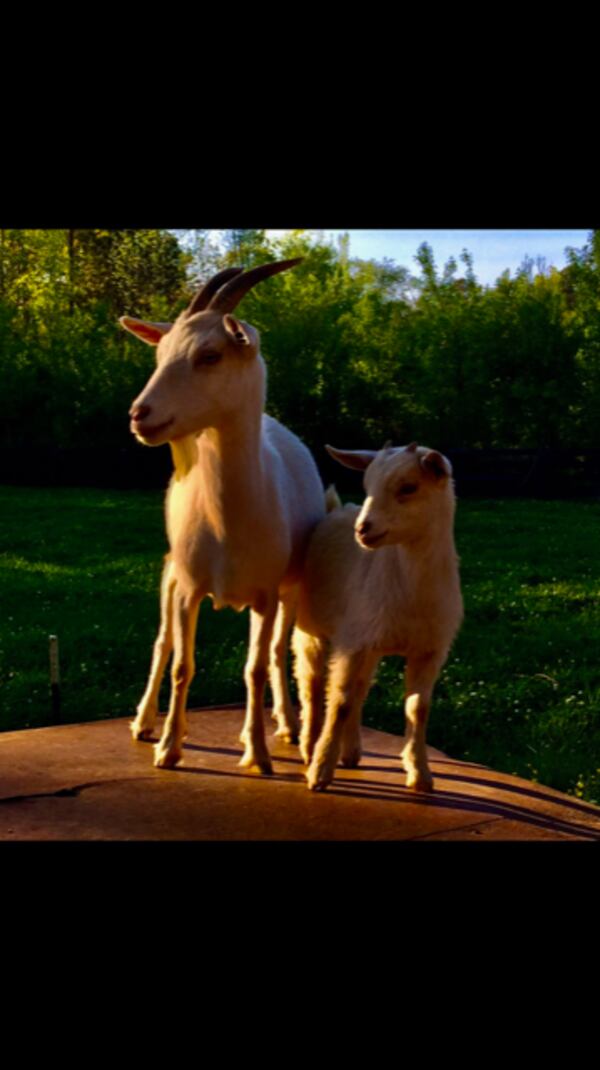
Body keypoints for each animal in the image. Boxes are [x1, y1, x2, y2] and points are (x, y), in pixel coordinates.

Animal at [119, 262, 325, 774]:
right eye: (160, 354)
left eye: (209, 355)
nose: (139, 415)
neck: (228, 520)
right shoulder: (189, 587)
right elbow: (181, 663)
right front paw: (169, 747)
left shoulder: (266, 595)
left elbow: (256, 666)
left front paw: (259, 753)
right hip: (170, 572)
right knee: (162, 642)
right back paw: (143, 722)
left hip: (290, 590)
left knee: (276, 652)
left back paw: (287, 726)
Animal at [293, 438, 459, 791]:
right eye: (367, 486)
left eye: (408, 487)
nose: (362, 529)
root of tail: (336, 510)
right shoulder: (353, 642)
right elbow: (339, 701)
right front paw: (320, 772)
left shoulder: (429, 650)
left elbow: (418, 708)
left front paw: (420, 774)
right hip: (311, 627)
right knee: (312, 683)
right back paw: (309, 747)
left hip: (370, 643)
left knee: (359, 689)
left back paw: (351, 751)